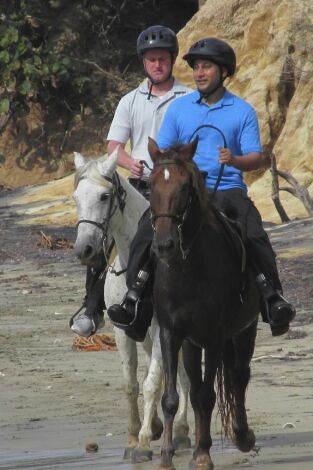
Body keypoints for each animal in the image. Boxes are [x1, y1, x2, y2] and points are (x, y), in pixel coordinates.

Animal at [72, 151, 190, 462]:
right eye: (76, 197)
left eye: (104, 196)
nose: (84, 250)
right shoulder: (122, 329)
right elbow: (132, 383)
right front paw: (133, 437)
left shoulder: (164, 329)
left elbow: (151, 383)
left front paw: (145, 442)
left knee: (185, 377)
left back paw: (182, 430)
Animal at [147, 138, 260, 468]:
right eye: (150, 184)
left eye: (185, 186)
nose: (164, 245)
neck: (188, 269)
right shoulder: (172, 334)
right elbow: (173, 398)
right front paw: (168, 457)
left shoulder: (214, 337)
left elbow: (209, 395)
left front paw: (203, 455)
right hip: (191, 344)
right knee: (196, 390)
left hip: (244, 332)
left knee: (238, 376)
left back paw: (242, 436)